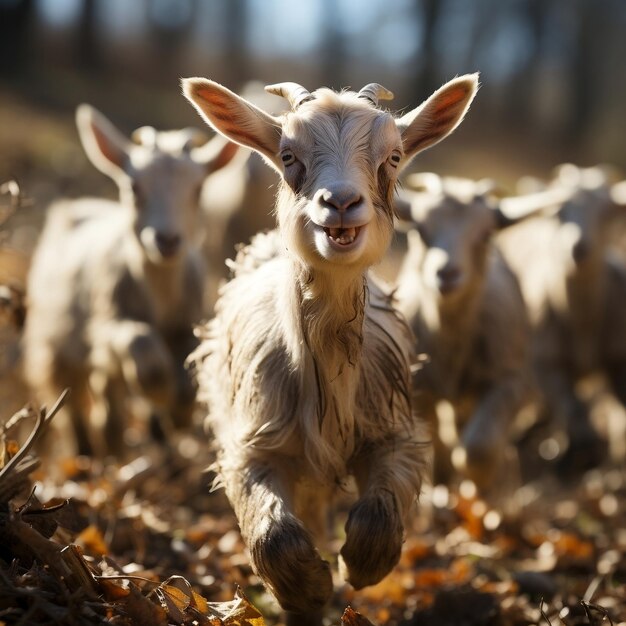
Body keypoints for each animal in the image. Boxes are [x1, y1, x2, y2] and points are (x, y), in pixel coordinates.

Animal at [23, 105, 238, 456]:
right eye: (134, 188)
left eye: (198, 190)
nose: (167, 240)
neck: (159, 292)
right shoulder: (107, 321)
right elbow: (141, 344)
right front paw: (160, 394)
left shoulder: (189, 323)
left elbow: (190, 371)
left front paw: (178, 415)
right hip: (53, 341)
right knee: (71, 401)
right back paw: (88, 450)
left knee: (106, 393)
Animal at [183, 72, 476, 620]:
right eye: (288, 154)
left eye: (394, 156)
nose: (339, 203)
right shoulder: (251, 444)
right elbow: (273, 534)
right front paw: (310, 590)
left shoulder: (395, 433)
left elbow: (378, 516)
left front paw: (358, 568)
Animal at [394, 173, 552, 490]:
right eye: (420, 230)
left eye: (486, 234)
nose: (446, 274)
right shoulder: (417, 388)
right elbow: (434, 443)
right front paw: (442, 483)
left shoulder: (508, 381)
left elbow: (479, 449)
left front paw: (481, 489)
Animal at [500, 163, 624, 470]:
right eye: (559, 212)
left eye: (606, 213)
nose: (578, 248)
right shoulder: (544, 363)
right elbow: (573, 409)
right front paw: (582, 454)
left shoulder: (619, 360)